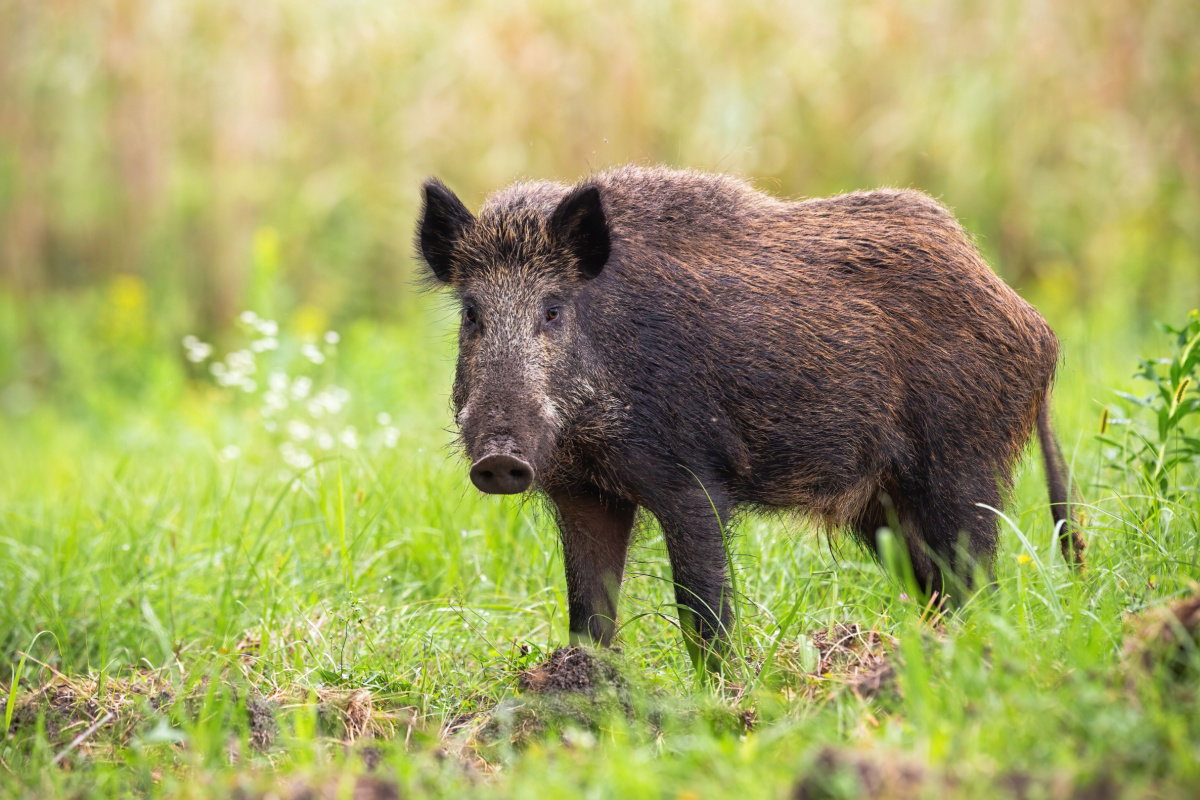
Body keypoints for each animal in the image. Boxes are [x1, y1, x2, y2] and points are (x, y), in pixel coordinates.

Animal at [417, 165, 1084, 666]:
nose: (499, 458)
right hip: (886, 507)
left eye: (553, 310)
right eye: (472, 313)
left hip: (963, 466)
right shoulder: (584, 494)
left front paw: (720, 697)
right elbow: (589, 613)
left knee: (979, 582)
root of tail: (1035, 325)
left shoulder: (692, 481)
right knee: (942, 588)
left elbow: (702, 610)